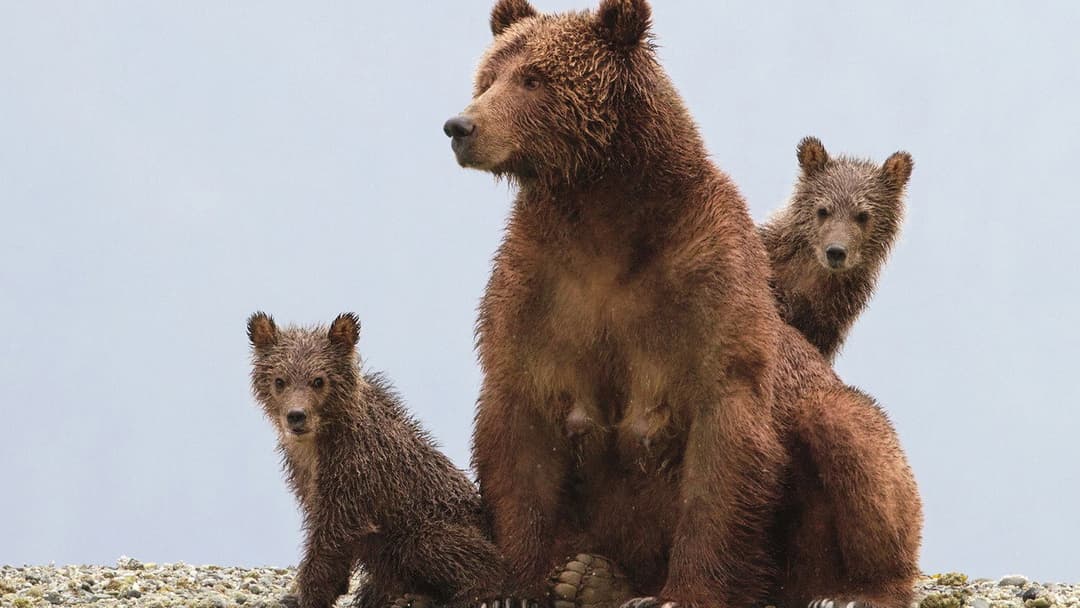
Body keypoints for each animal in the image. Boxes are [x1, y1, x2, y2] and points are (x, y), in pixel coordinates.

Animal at [246, 312, 508, 608]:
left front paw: (310, 595)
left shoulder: (356, 470)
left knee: (440, 548)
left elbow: (334, 536)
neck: (320, 442)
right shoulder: (305, 475)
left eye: (318, 380)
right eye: (279, 380)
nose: (296, 416)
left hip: (434, 526)